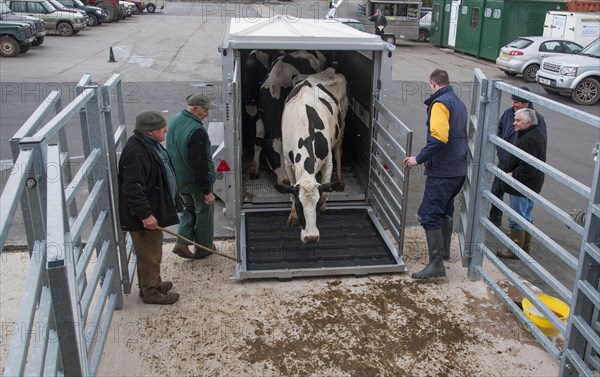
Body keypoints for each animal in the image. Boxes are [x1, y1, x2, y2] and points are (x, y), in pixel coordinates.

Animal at [247, 50, 326, 185]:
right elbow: (258, 141)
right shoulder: (259, 116)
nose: (285, 181)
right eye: (274, 157)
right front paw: (254, 169)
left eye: (289, 157)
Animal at [274, 68, 350, 244]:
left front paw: (323, 206)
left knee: (339, 150)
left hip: (342, 123)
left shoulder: (328, 161)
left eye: (315, 205)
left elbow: (327, 189)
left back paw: (341, 180)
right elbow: (292, 189)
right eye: (300, 206)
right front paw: (293, 216)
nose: (311, 238)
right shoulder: (288, 162)